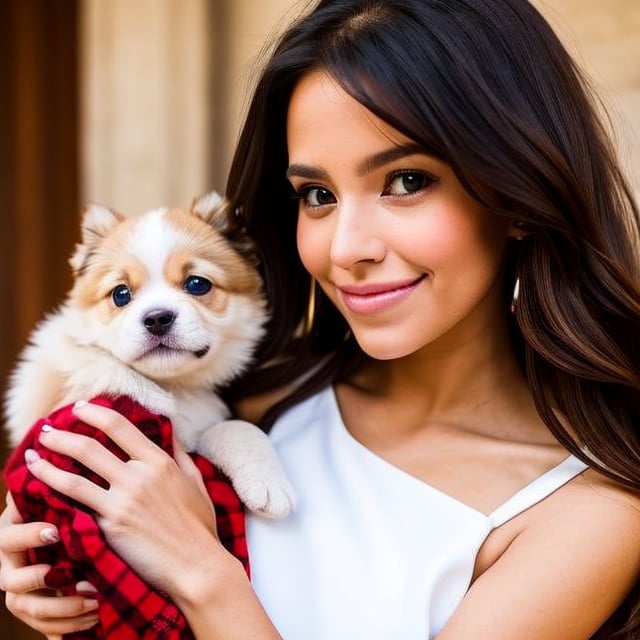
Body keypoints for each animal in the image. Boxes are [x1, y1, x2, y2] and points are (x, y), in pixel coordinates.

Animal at [3, 191, 296, 520]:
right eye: (121, 294)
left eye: (197, 284)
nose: (157, 318)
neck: (170, 387)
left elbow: (236, 428)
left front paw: (266, 479)